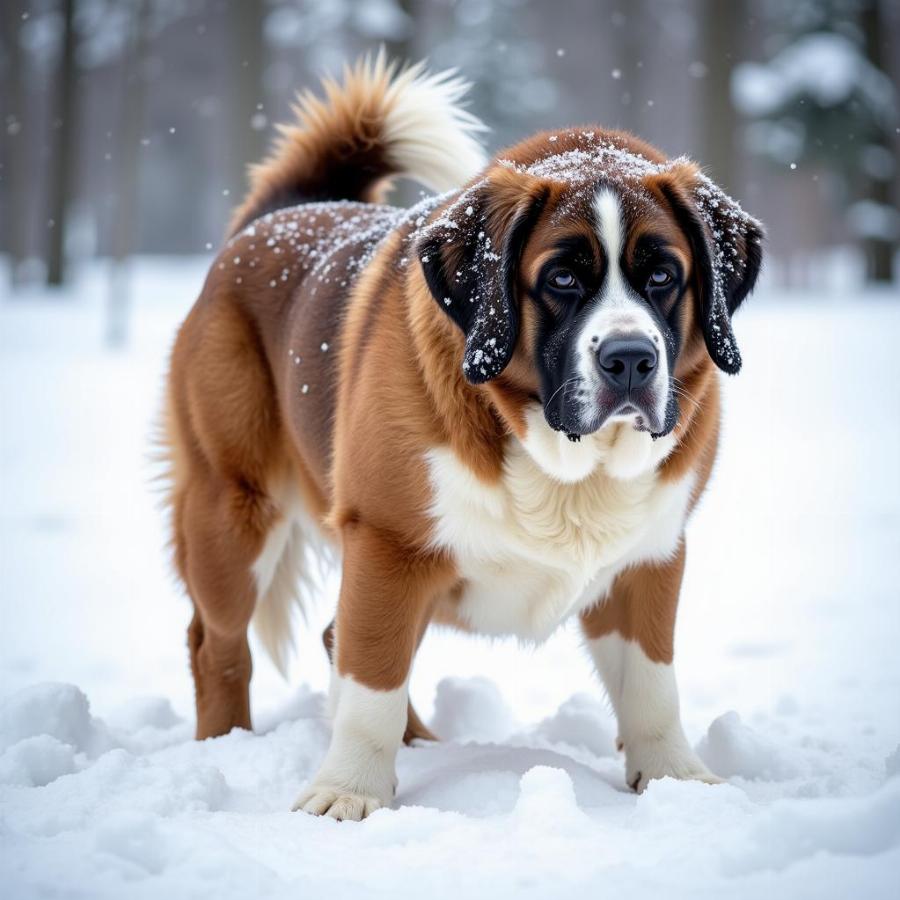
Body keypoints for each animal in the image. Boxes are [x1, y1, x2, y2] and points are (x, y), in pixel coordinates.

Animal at [162, 51, 760, 824]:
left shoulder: (651, 557)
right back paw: (225, 746)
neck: (566, 464)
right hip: (235, 511)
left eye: (663, 275)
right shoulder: (388, 544)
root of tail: (277, 217)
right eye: (560, 279)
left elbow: (652, 682)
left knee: (332, 636)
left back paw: (420, 746)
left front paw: (674, 780)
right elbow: (372, 681)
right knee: (219, 643)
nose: (630, 358)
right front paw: (348, 791)